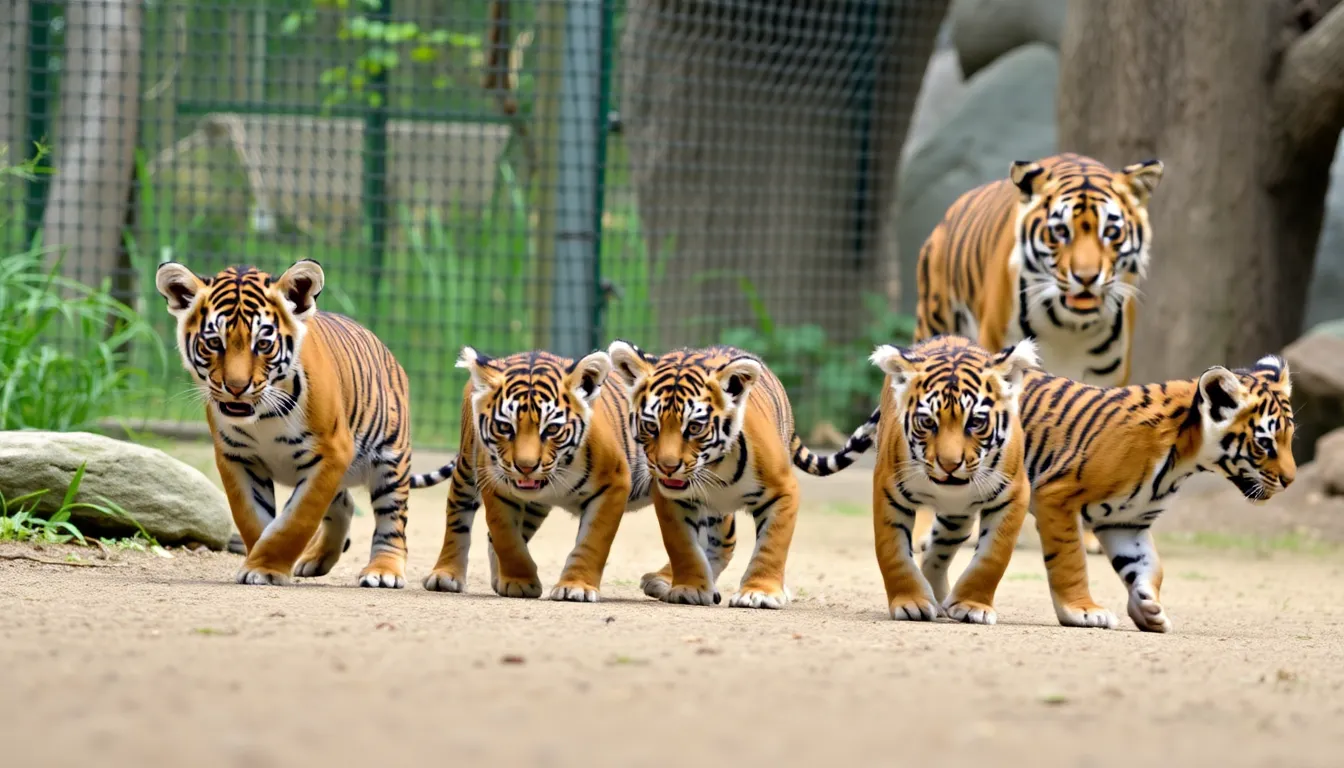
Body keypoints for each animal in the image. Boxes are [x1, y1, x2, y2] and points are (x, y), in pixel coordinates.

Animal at [154, 259, 454, 588]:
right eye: (213, 343)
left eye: (263, 343)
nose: (236, 387)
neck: (263, 417)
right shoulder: (237, 457)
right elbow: (253, 518)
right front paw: (258, 561)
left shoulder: (330, 454)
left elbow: (296, 520)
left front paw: (266, 568)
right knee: (345, 504)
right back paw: (316, 560)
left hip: (390, 460)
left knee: (392, 521)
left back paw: (383, 572)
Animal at [606, 341, 881, 609]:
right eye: (651, 425)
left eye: (694, 427)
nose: (667, 466)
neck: (714, 466)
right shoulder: (671, 499)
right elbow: (683, 545)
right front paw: (690, 588)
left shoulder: (784, 490)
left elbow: (771, 545)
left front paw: (760, 593)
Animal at [867, 335, 1039, 624]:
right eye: (927, 422)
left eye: (976, 422)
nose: (949, 464)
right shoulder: (888, 490)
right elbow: (893, 553)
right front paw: (910, 603)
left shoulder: (1013, 494)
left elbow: (992, 558)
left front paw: (972, 606)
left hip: (957, 521)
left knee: (937, 553)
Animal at [914, 152, 1165, 557]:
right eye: (1060, 232)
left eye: (1111, 233)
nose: (1086, 277)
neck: (1069, 326)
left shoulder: (1106, 377)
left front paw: (1091, 534)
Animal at [1008, 355, 1295, 632]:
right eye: (1264, 443)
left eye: (1290, 438)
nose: (1290, 480)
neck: (1182, 461)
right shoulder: (1056, 496)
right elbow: (1070, 561)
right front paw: (1082, 611)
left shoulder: (1126, 520)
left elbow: (1149, 566)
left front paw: (1148, 610)